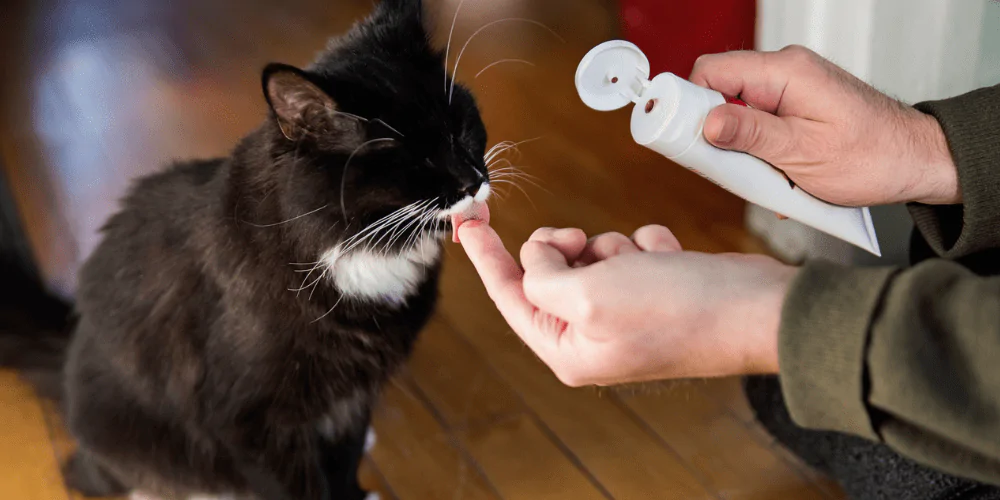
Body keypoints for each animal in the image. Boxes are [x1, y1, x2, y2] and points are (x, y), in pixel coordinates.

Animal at [6, 1, 492, 498]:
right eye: (412, 160)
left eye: (461, 129)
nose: (473, 179)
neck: (355, 248)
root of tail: (71, 346)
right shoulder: (250, 421)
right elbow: (298, 487)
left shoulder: (354, 394)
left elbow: (345, 456)